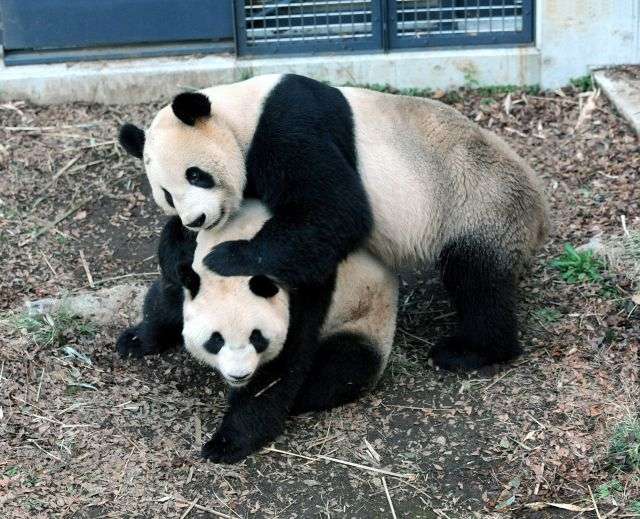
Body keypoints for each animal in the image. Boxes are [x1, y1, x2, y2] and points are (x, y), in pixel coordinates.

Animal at [118, 200, 398, 464]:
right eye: (216, 340)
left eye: (256, 337)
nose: (239, 375)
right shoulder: (189, 265)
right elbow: (168, 297)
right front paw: (135, 340)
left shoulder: (305, 290)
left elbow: (277, 370)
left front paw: (225, 444)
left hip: (365, 320)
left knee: (344, 367)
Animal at [119, 73, 549, 372]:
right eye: (167, 194)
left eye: (196, 175)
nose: (197, 218)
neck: (240, 115)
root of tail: (539, 208)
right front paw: (145, 327)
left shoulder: (288, 126)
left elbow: (336, 208)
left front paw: (226, 257)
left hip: (479, 204)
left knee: (476, 280)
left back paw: (471, 350)